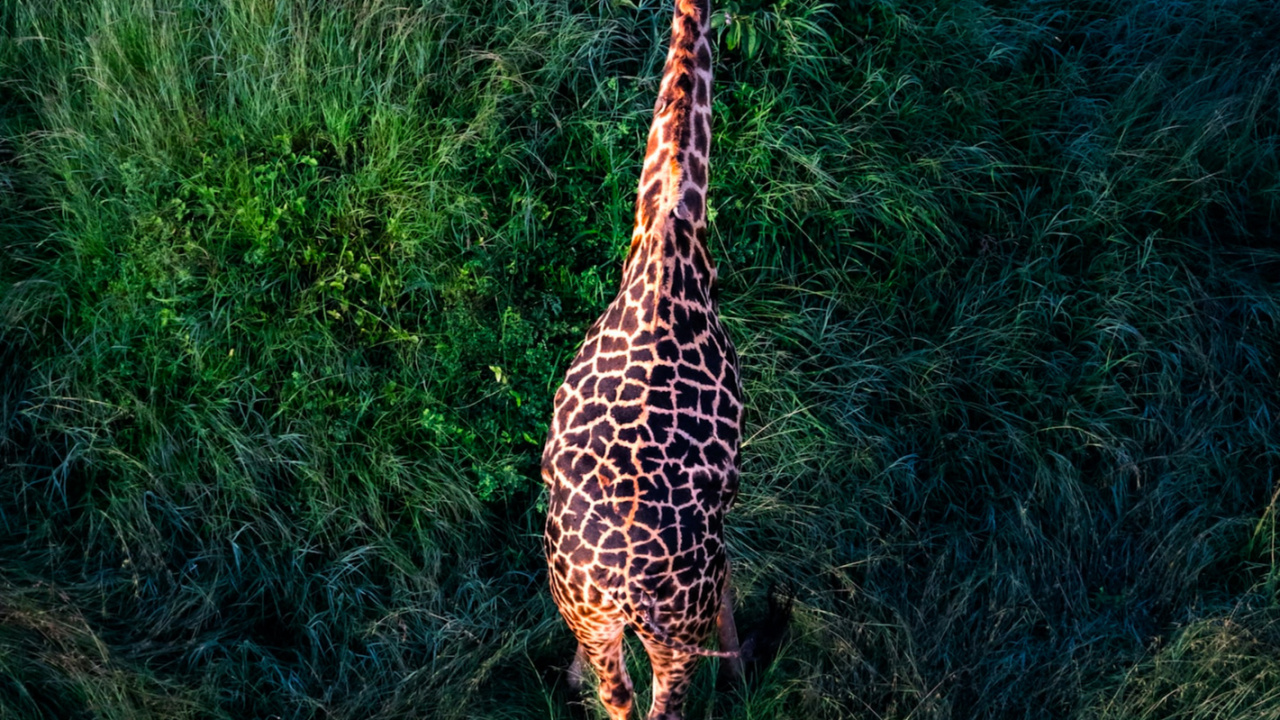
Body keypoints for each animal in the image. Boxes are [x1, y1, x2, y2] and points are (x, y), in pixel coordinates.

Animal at [541, 1, 744, 718]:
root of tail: (628, 587)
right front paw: (741, 667)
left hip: (592, 611)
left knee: (620, 693)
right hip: (674, 633)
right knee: (665, 705)